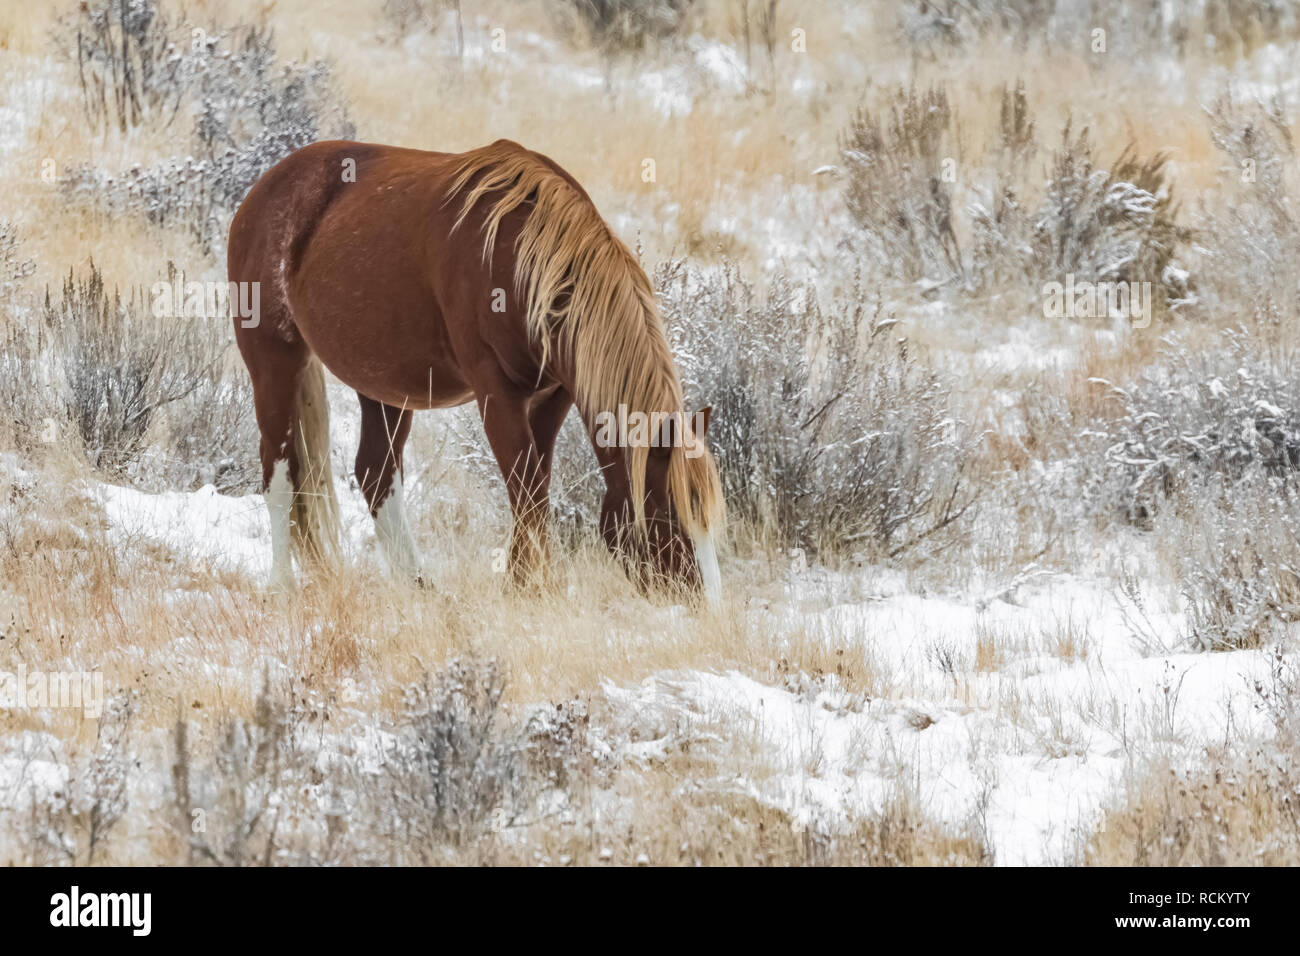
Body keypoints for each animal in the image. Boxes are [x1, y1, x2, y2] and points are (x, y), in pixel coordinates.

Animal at [227, 138, 724, 603]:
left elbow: (533, 488)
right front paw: (536, 589)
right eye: (668, 513)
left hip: (384, 386)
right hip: (274, 361)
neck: (523, 260)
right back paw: (282, 586)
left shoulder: (552, 396)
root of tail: (261, 192)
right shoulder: (496, 392)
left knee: (376, 473)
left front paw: (522, 585)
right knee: (280, 470)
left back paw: (420, 587)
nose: (705, 606)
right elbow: (527, 491)